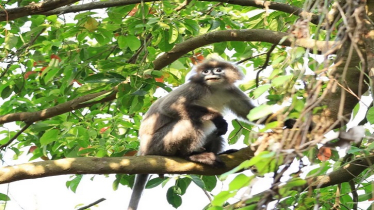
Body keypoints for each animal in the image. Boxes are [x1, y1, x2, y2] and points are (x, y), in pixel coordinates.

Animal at [126, 57, 280, 210]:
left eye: (218, 70)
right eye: (205, 71)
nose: (210, 74)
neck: (214, 89)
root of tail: (143, 150)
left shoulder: (231, 91)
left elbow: (250, 113)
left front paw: (285, 121)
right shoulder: (195, 88)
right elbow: (169, 106)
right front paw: (218, 118)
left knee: (217, 133)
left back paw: (218, 153)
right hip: (158, 143)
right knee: (189, 122)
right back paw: (192, 155)